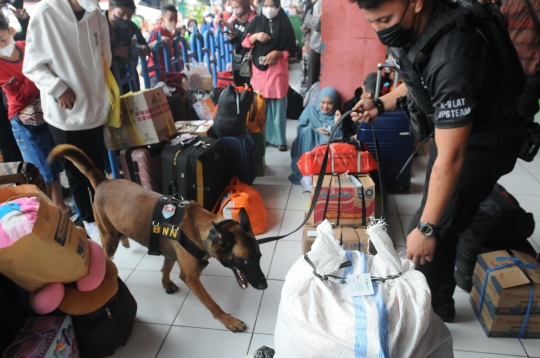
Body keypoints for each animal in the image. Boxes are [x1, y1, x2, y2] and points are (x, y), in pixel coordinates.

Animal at [49, 143, 268, 332]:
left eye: (259, 258)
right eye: (246, 261)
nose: (264, 286)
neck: (207, 231)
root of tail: (104, 181)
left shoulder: (170, 255)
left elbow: (165, 268)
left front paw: (166, 283)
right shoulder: (191, 278)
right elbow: (212, 303)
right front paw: (228, 320)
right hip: (109, 238)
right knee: (105, 254)